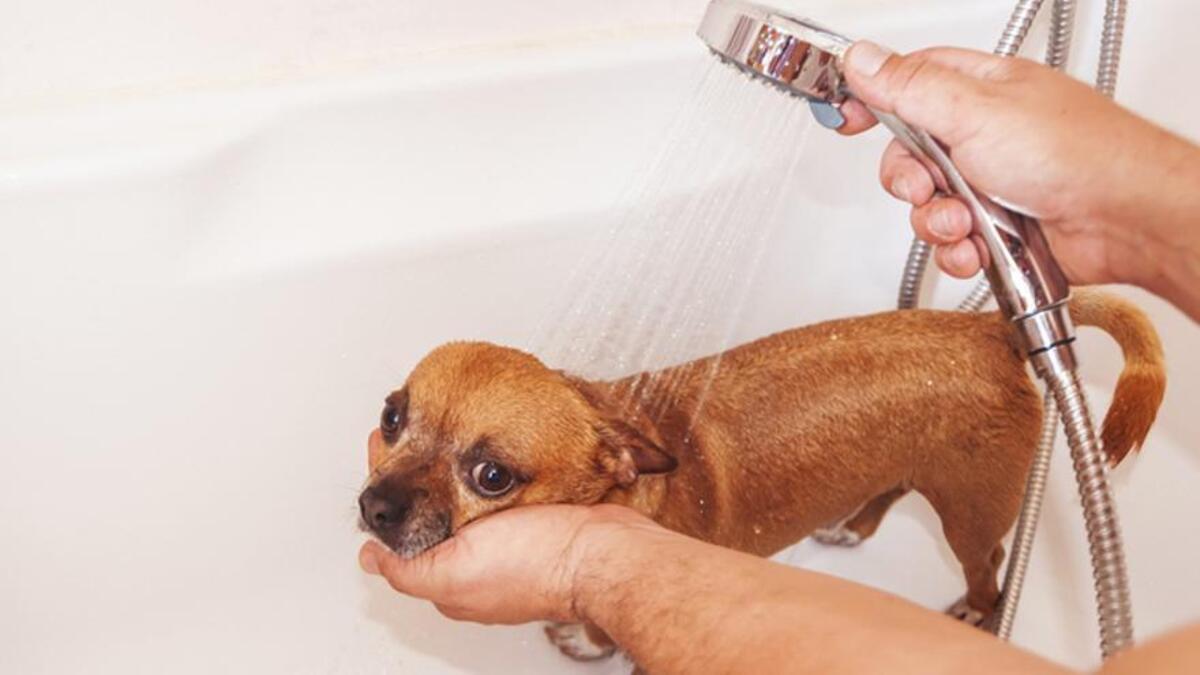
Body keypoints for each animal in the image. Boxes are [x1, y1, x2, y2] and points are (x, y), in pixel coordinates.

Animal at [355, 288, 1161, 658]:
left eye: (491, 475)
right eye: (393, 416)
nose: (376, 508)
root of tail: (999, 328)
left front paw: (589, 641)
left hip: (970, 512)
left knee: (988, 564)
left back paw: (976, 610)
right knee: (890, 490)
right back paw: (851, 527)